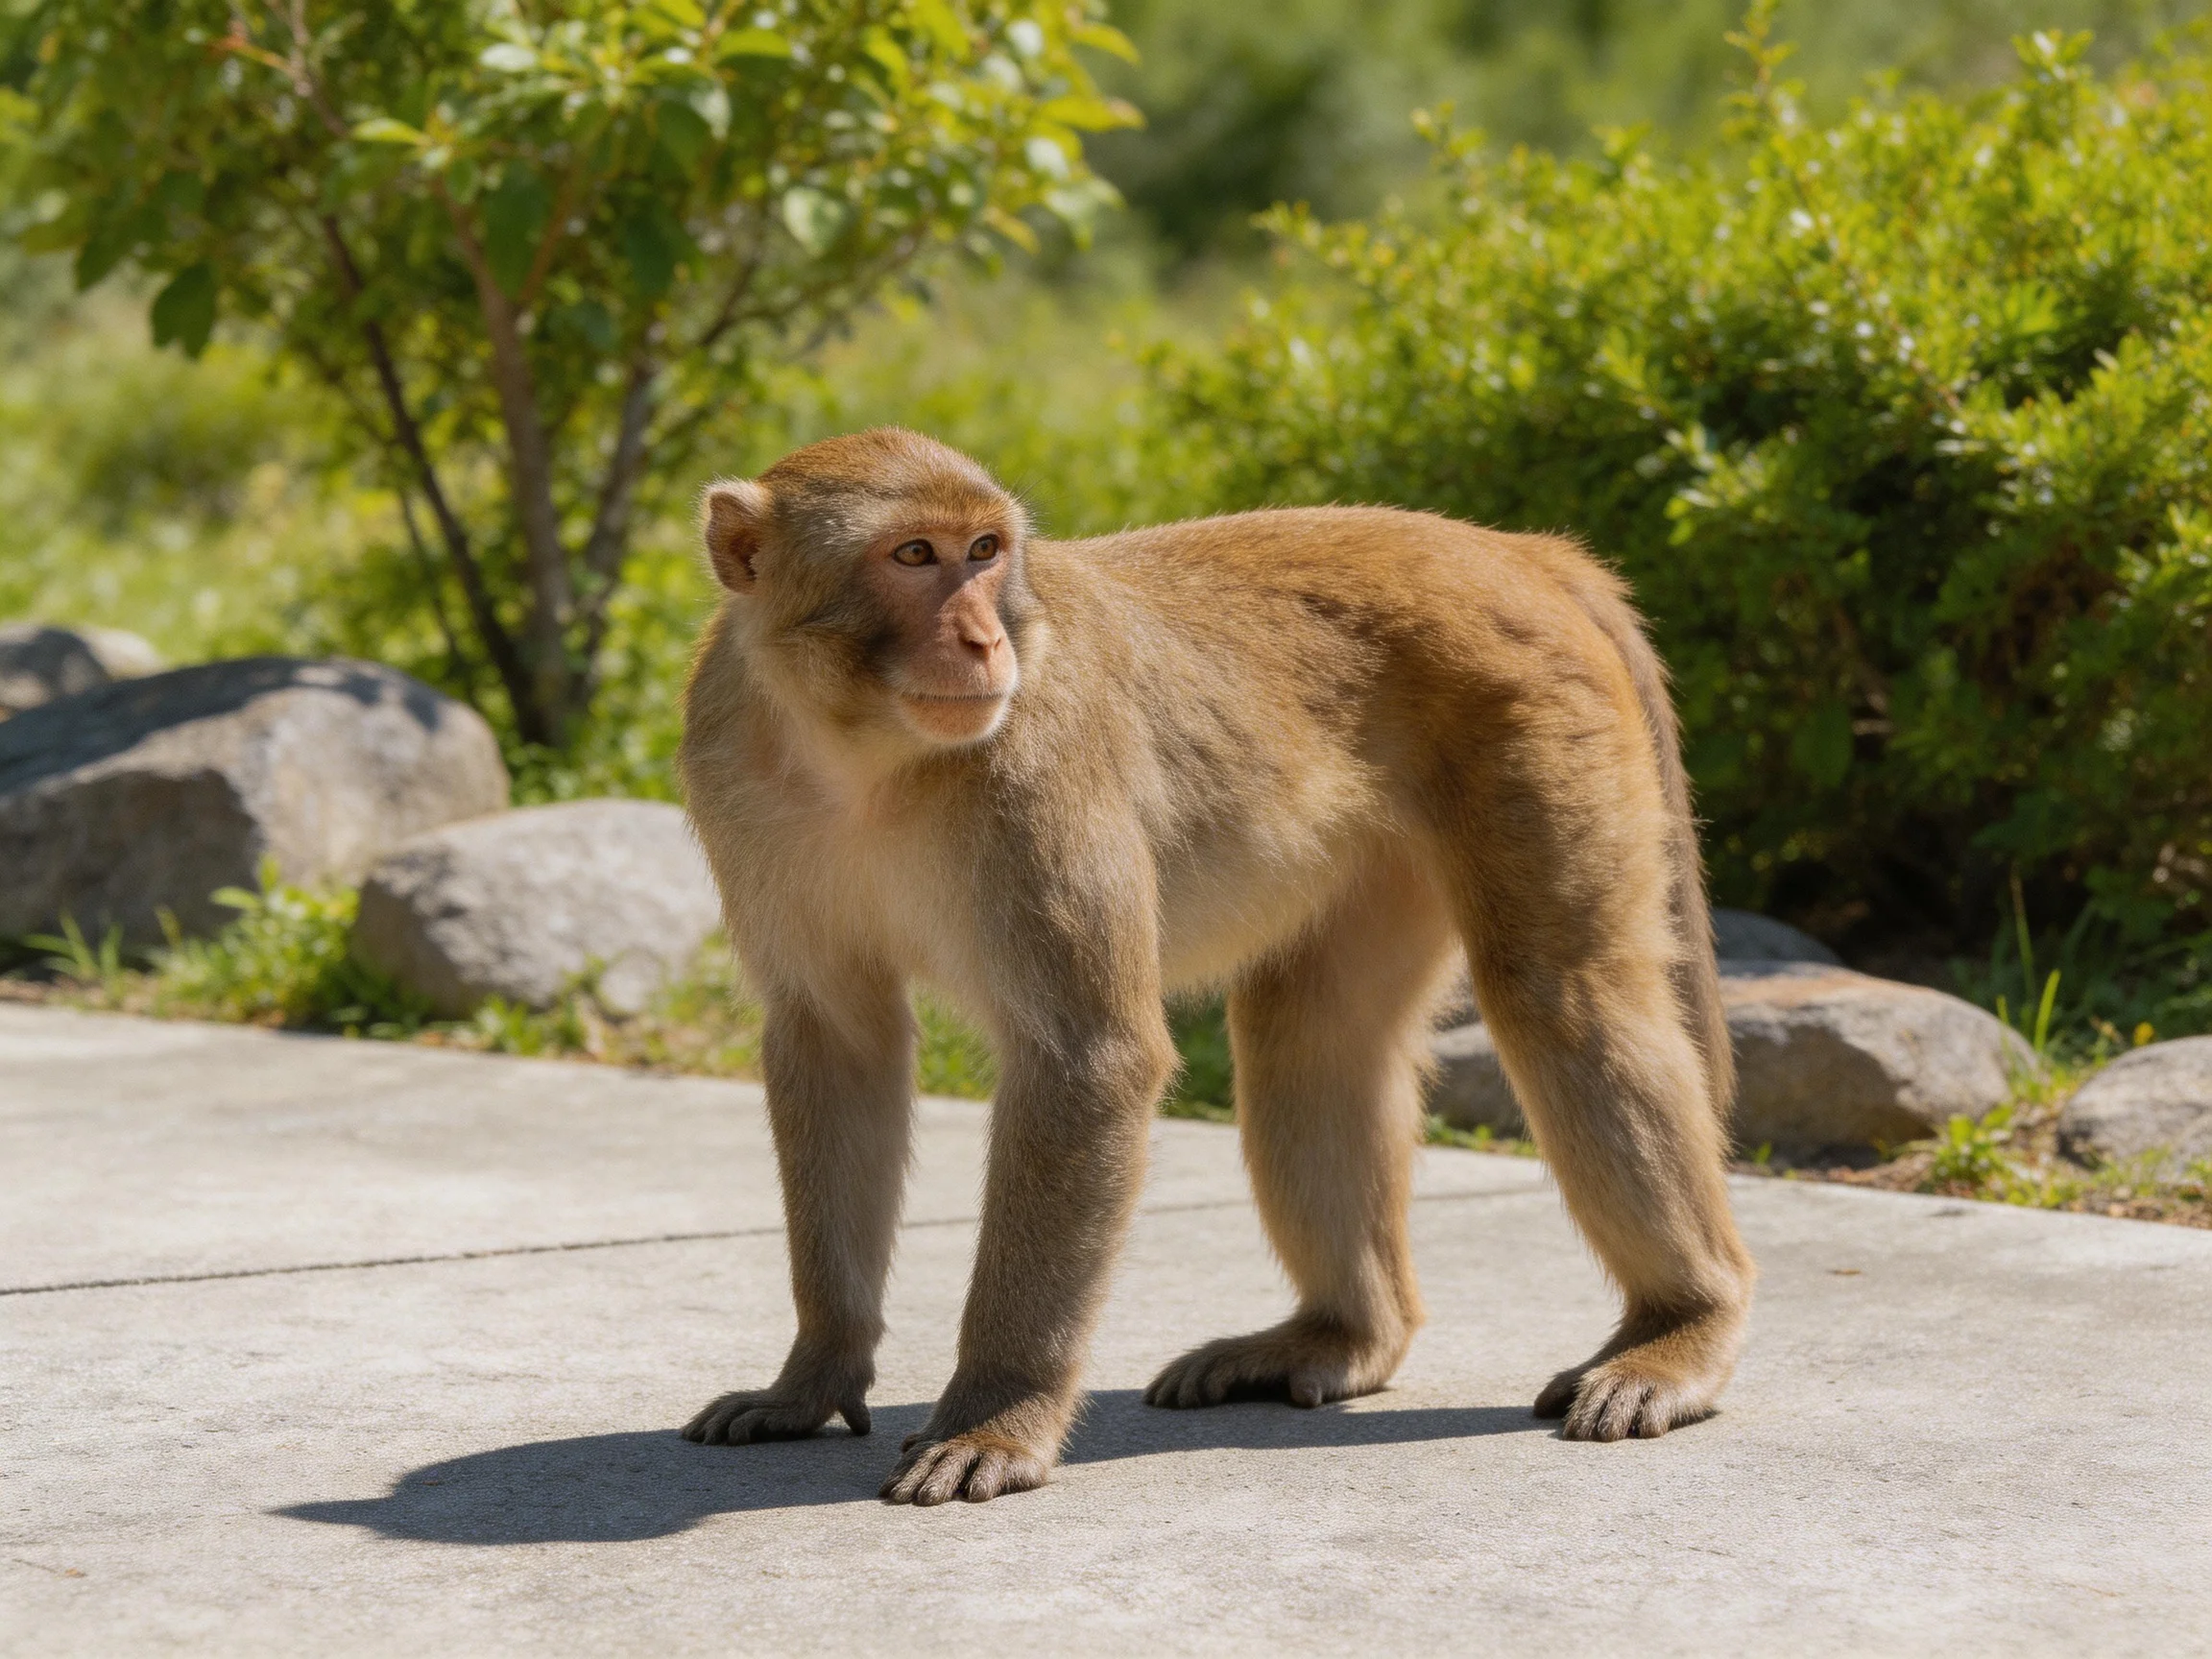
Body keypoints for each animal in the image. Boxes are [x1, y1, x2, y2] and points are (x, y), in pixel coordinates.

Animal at [676, 427, 1755, 1507]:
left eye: (983, 551)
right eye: (913, 556)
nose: (985, 643)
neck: (859, 752)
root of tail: (1522, 553)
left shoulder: (1036, 768)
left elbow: (1089, 1060)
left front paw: (997, 1413)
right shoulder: (734, 771)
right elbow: (837, 1045)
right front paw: (811, 1377)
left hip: (1535, 724)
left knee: (1557, 997)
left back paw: (1683, 1324)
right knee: (1313, 1037)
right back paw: (1345, 1335)